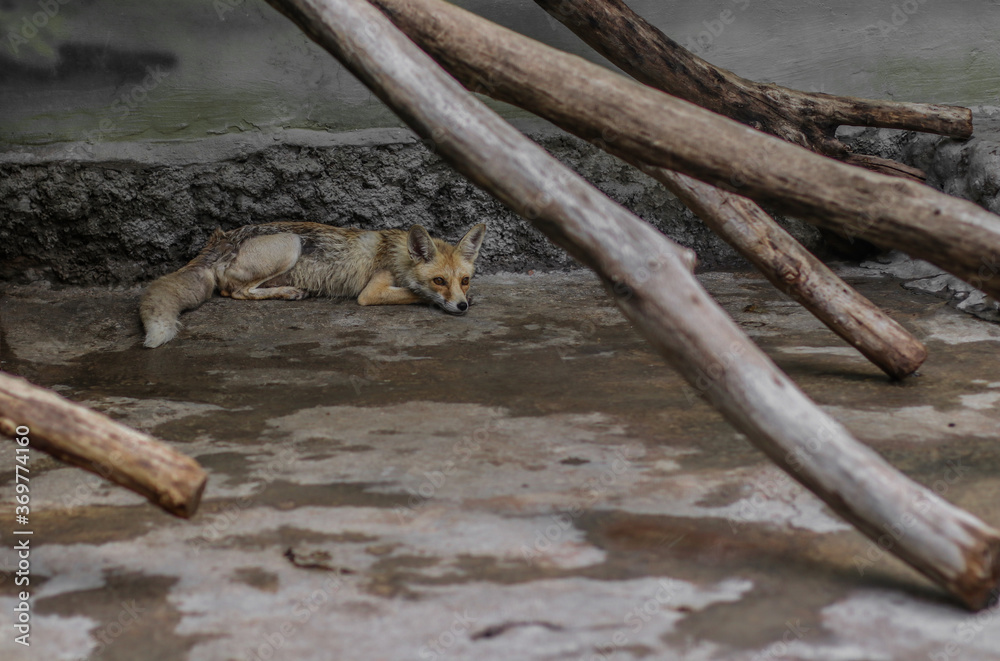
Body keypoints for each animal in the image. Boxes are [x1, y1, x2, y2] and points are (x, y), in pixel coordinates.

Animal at [139, 221, 487, 348]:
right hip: (291, 244)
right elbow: (414, 293)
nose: (462, 306)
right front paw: (431, 298)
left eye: (465, 280)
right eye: (439, 280)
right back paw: (288, 292)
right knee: (234, 292)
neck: (397, 254)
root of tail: (220, 238)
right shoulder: (371, 292)